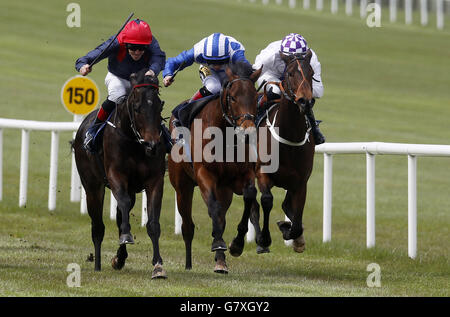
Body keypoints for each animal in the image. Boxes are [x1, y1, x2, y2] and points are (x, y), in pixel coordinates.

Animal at [73, 68, 168, 276]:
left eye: (159, 107)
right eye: (137, 107)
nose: (153, 145)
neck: (135, 143)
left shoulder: (155, 180)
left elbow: (153, 223)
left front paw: (158, 265)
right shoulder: (115, 175)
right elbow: (122, 204)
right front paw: (126, 235)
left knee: (119, 216)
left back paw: (120, 258)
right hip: (92, 187)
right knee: (98, 226)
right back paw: (98, 264)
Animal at [167, 61, 262, 272]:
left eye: (255, 97)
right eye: (233, 97)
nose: (248, 131)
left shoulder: (241, 176)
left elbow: (249, 197)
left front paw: (238, 244)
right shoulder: (204, 174)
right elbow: (213, 208)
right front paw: (219, 243)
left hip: (224, 190)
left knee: (222, 216)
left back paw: (221, 260)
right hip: (182, 186)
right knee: (188, 226)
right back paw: (189, 264)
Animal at [232, 50, 316, 254]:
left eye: (311, 74)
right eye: (291, 73)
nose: (305, 101)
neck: (289, 139)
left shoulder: (301, 182)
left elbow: (296, 220)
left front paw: (292, 235)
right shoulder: (263, 173)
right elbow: (267, 200)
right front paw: (264, 239)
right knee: (252, 202)